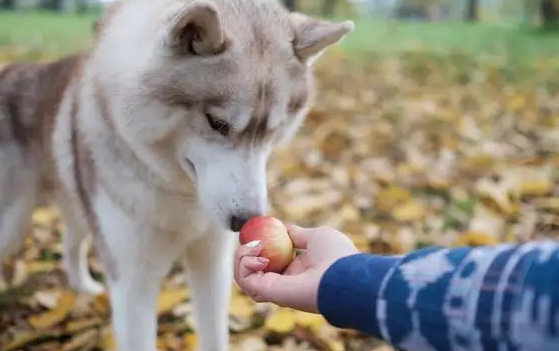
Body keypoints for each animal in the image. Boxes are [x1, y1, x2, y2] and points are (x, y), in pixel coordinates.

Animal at [0, 0, 352, 350]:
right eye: (217, 123)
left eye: (274, 130)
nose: (246, 220)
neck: (181, 194)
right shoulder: (133, 283)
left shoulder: (212, 263)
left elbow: (214, 334)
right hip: (14, 225)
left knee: (71, 239)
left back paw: (83, 287)